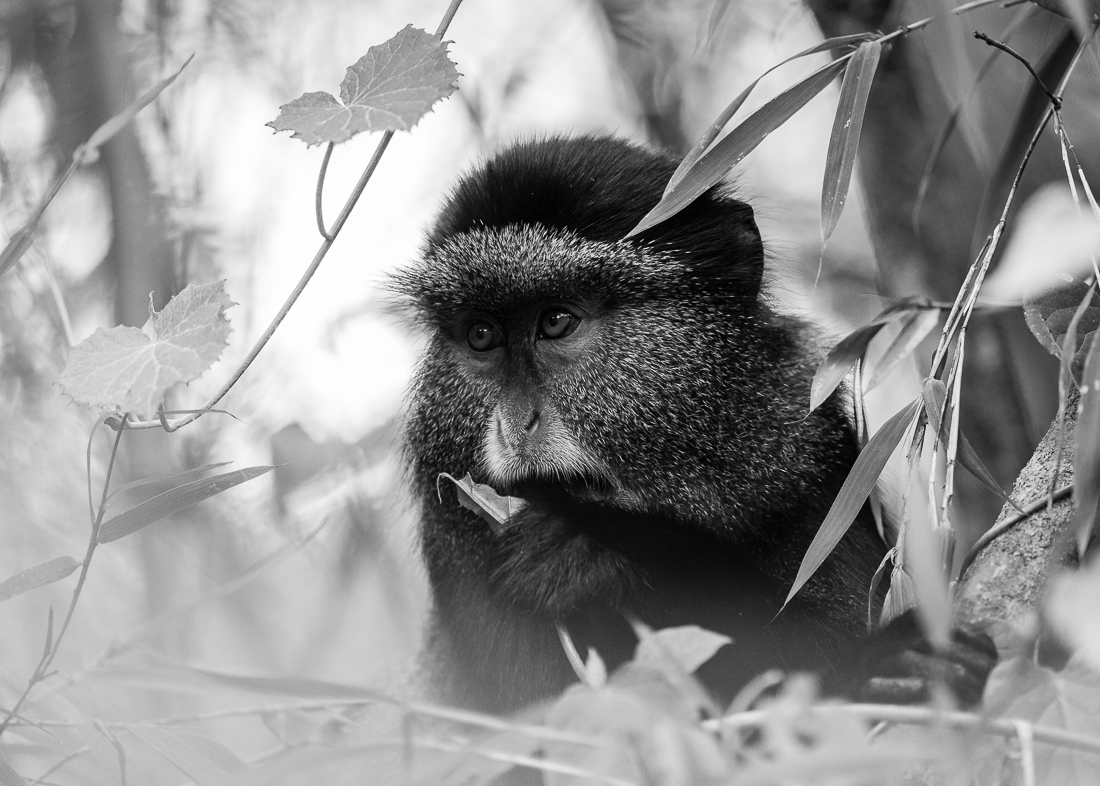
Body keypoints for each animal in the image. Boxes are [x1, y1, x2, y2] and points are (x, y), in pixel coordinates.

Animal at [391, 135, 995, 715]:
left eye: (557, 322)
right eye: (481, 336)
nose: (517, 422)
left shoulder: (817, 475)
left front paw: (590, 548)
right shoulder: (454, 539)